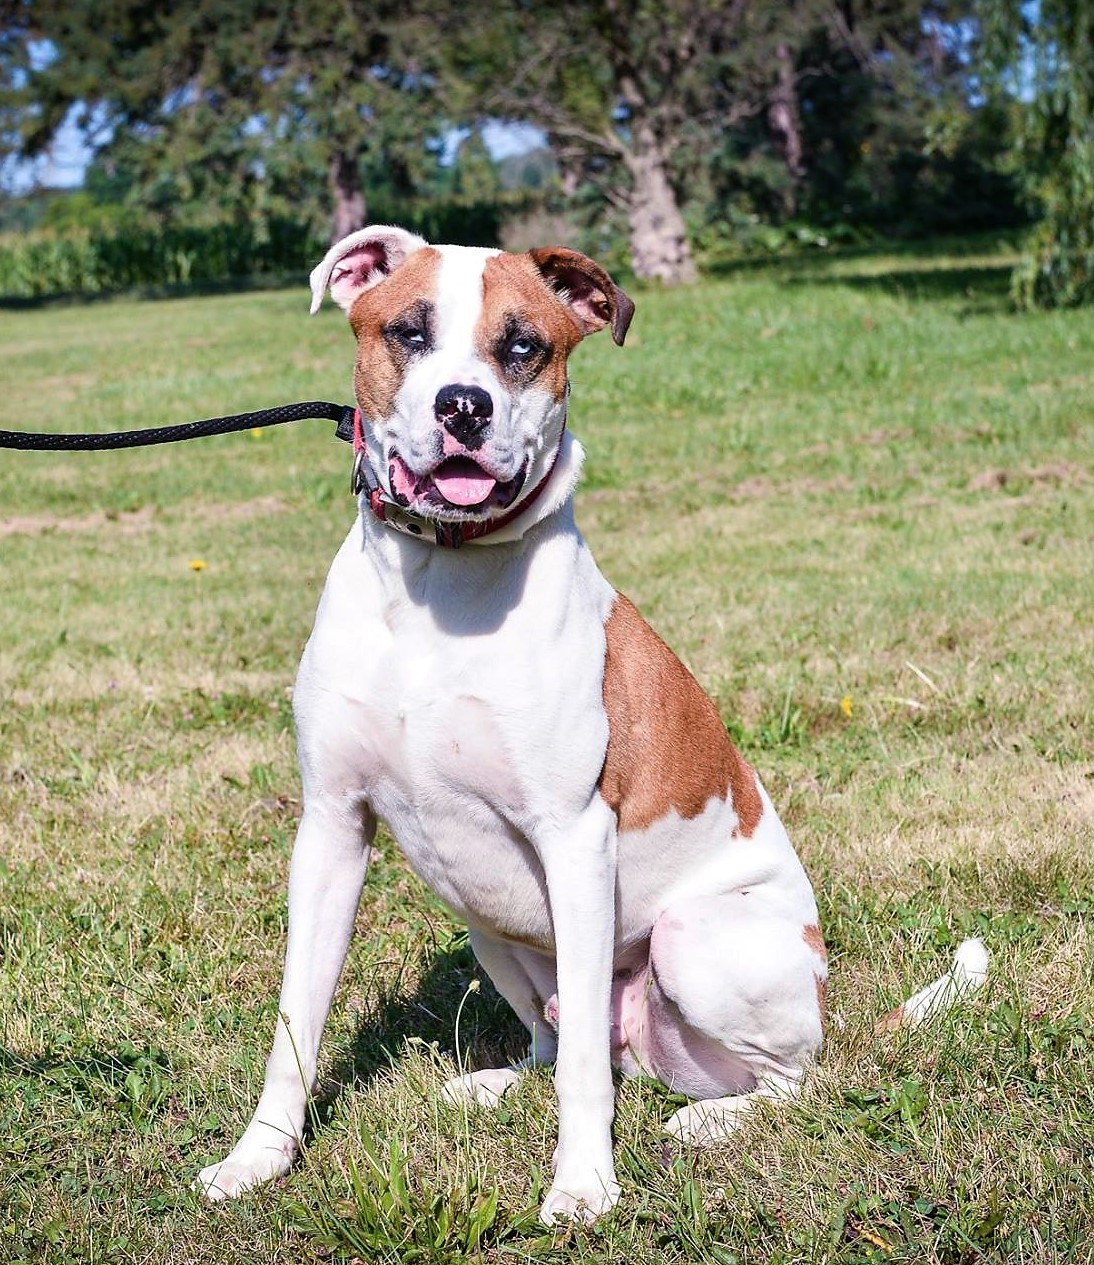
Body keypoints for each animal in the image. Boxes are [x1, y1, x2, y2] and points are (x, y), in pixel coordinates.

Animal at [196, 227, 991, 1224]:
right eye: (409, 332)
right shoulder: (332, 826)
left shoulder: (574, 838)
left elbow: (582, 1070)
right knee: (555, 1037)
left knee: (777, 1078)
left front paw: (582, 1186)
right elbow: (295, 1023)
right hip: (487, 926)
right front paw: (258, 1158)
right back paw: (494, 1083)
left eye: (522, 345)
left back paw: (710, 1121)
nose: (464, 406)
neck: (437, 586)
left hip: (698, 939)